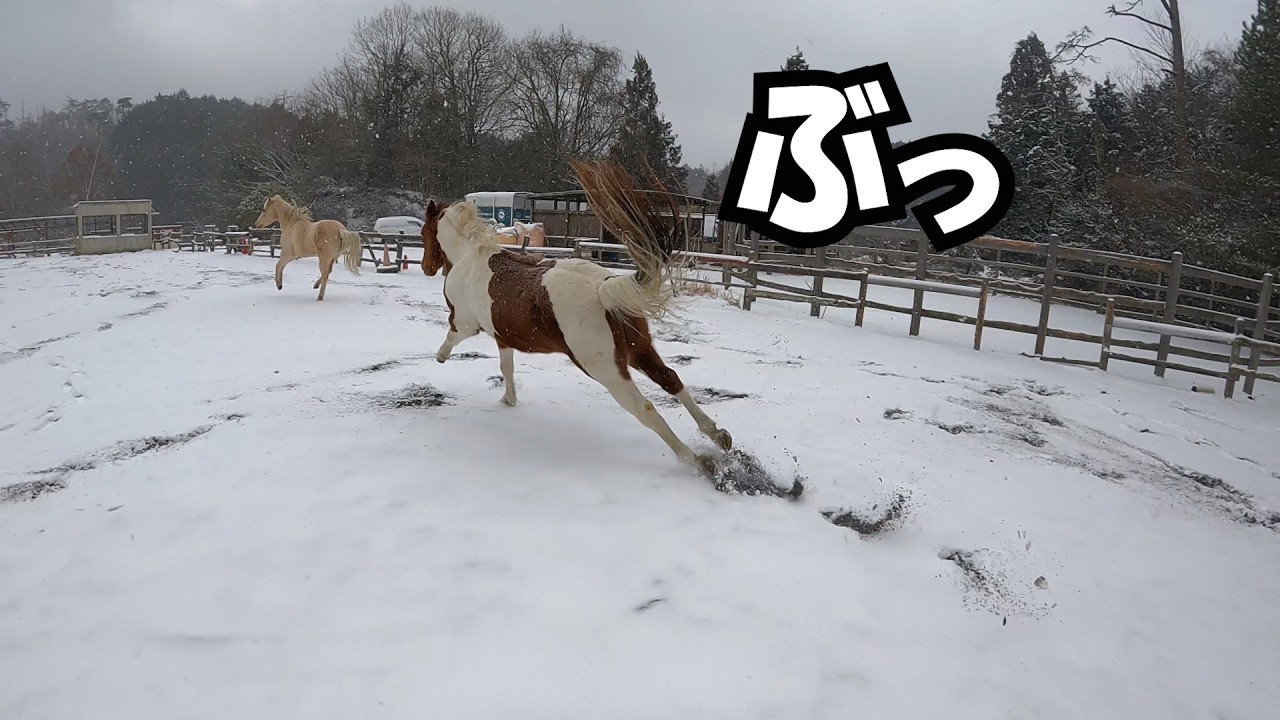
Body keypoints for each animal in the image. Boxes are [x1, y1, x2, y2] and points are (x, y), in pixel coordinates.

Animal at [419, 162, 732, 477]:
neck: (469, 259)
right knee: (671, 379)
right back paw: (718, 435)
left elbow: (452, 335)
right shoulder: (503, 337)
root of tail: (604, 289)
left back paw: (697, 459)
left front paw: (441, 357)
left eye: (424, 232)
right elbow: (506, 368)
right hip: (639, 350)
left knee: (644, 408)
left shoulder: (466, 323)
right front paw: (509, 399)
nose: (426, 268)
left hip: (606, 370)